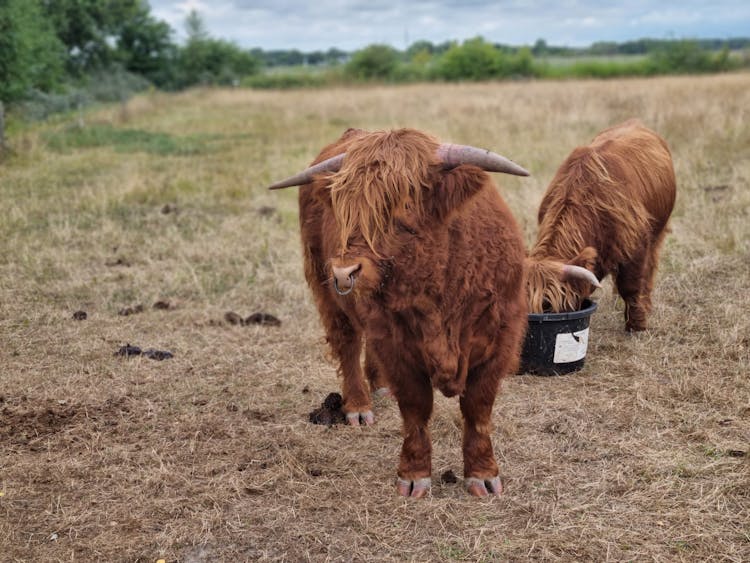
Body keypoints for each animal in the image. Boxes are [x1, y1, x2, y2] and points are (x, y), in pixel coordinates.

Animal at [270, 128, 528, 498]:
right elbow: (416, 409)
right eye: (344, 207)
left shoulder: (501, 339)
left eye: (403, 204)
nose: (345, 273)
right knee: (348, 345)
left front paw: (483, 474)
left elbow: (478, 409)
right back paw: (359, 405)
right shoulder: (397, 347)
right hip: (328, 295)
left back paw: (379, 387)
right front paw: (414, 475)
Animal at [524, 119, 680, 330]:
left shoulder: (636, 244)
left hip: (658, 231)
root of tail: (635, 122)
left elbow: (631, 286)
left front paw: (637, 325)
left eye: (547, 305)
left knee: (650, 267)